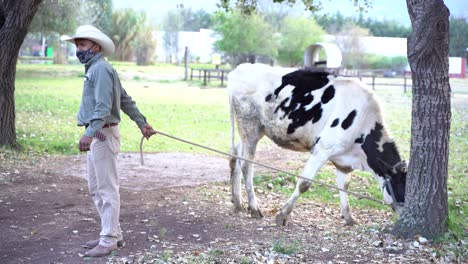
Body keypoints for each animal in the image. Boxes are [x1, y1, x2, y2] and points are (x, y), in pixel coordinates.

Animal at [228, 63, 406, 226]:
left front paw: (349, 218)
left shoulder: (342, 159)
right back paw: (254, 208)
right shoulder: (323, 149)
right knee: (246, 165)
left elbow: (344, 185)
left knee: (236, 156)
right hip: (249, 124)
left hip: (256, 129)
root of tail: (238, 69)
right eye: (402, 186)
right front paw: (283, 215)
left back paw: (238, 202)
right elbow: (304, 183)